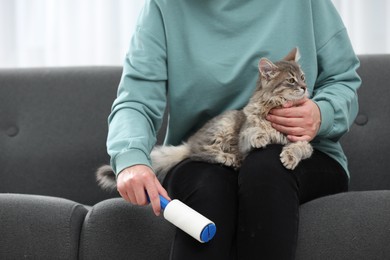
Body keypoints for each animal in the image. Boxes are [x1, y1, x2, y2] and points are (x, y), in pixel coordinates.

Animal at [96, 47, 314, 190]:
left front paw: (289, 157)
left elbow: (299, 148)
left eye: (303, 77)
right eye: (291, 80)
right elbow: (253, 131)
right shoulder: (243, 136)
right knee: (197, 152)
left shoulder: (304, 141)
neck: (274, 106)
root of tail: (190, 141)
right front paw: (261, 136)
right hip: (223, 126)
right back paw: (229, 158)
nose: (304, 87)